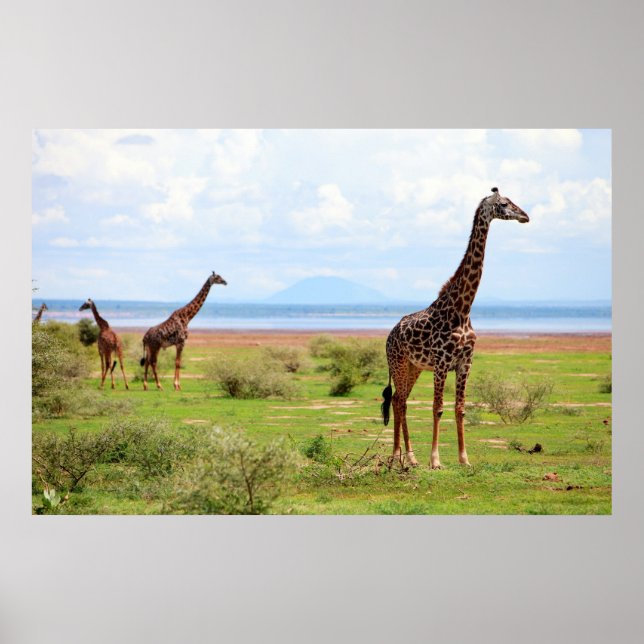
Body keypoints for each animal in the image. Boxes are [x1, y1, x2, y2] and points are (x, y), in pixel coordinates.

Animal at [381, 187, 529, 469]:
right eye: (505, 204)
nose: (525, 216)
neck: (463, 309)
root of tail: (390, 334)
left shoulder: (465, 362)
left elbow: (460, 409)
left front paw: (464, 459)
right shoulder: (441, 362)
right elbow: (437, 408)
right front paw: (436, 461)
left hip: (415, 367)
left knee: (399, 400)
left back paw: (410, 457)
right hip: (398, 363)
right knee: (398, 401)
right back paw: (396, 457)